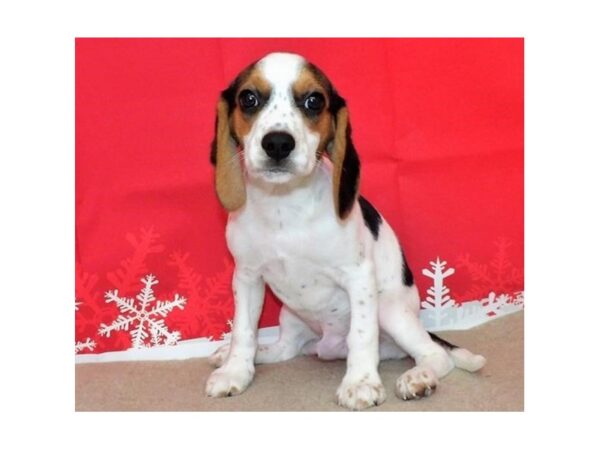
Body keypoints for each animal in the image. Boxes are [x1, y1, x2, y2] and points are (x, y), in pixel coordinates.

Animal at [206, 51, 488, 410]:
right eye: (248, 99)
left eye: (314, 101)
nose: (278, 144)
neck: (284, 204)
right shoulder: (246, 277)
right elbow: (244, 331)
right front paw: (235, 371)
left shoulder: (358, 277)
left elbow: (362, 335)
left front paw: (361, 383)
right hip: (290, 316)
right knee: (284, 349)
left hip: (392, 312)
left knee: (435, 354)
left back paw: (419, 377)